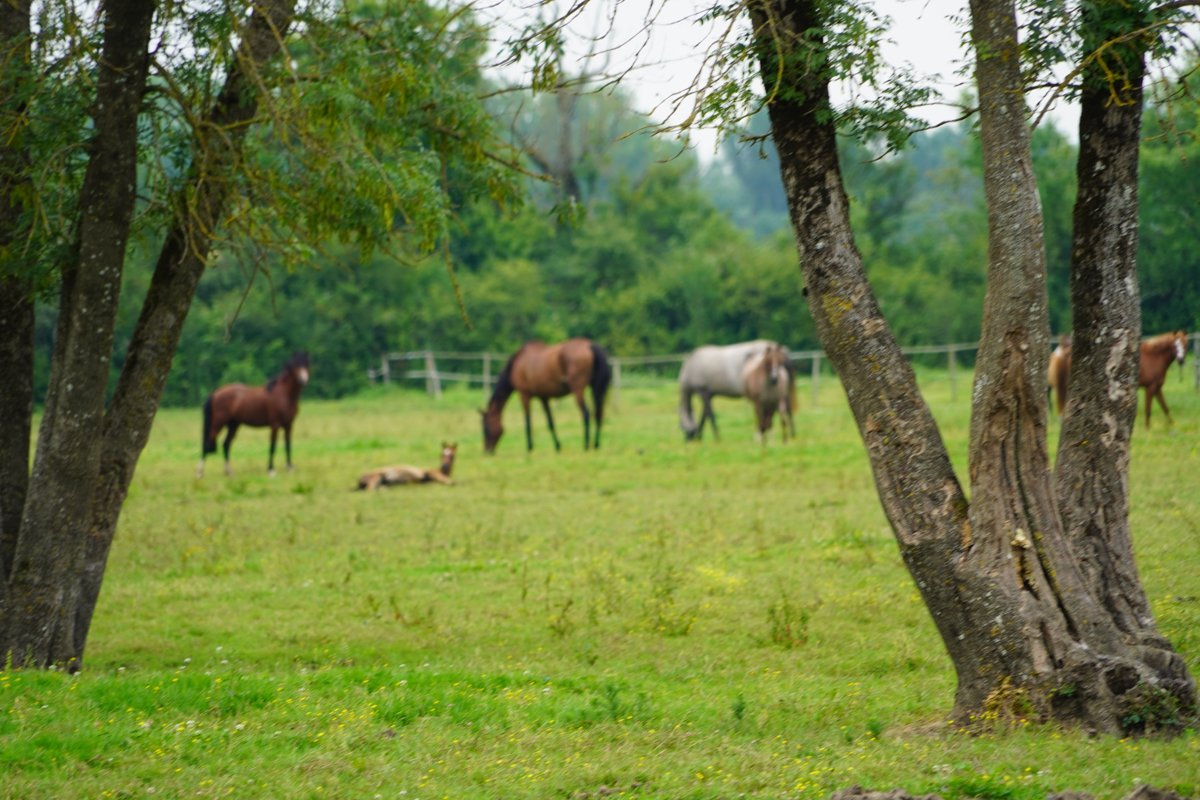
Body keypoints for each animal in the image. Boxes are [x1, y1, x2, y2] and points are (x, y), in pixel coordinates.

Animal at [481, 338, 611, 453]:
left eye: (486, 428)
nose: (487, 451)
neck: (518, 363)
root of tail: (590, 346)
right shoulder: (543, 397)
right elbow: (550, 422)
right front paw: (558, 446)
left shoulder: (524, 395)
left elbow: (527, 421)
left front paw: (529, 447)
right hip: (595, 389)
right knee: (598, 414)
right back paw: (596, 444)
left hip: (578, 390)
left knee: (586, 413)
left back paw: (586, 445)